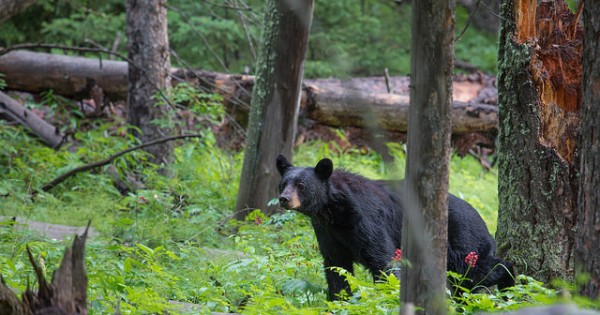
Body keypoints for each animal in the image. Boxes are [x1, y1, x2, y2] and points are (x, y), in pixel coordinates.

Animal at [274, 156, 512, 302]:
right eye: (284, 183)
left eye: (301, 185)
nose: (284, 198)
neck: (332, 209)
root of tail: (483, 222)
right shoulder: (328, 232)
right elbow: (336, 266)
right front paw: (339, 300)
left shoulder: (365, 219)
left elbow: (382, 259)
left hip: (462, 240)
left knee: (477, 272)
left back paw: (509, 284)